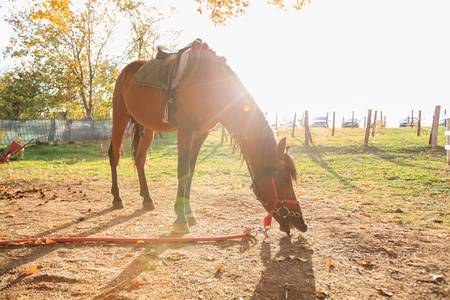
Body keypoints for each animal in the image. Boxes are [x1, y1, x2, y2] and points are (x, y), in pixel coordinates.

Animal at [107, 41, 308, 236]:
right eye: (284, 179)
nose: (301, 223)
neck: (211, 86)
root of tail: (126, 72)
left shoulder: (200, 134)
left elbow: (191, 171)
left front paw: (189, 213)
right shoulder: (185, 130)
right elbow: (183, 170)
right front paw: (180, 219)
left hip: (148, 128)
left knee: (140, 159)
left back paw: (147, 198)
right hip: (120, 117)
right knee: (114, 154)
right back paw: (117, 198)